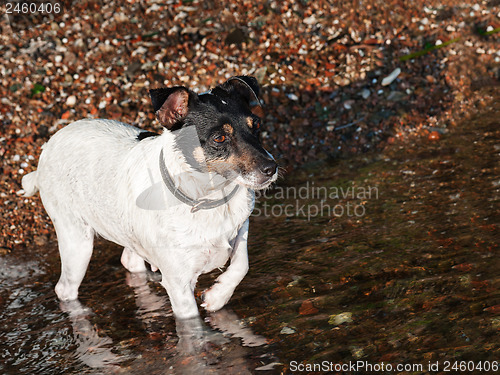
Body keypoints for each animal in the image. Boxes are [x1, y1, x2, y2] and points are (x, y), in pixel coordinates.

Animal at [22, 75, 278, 320]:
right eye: (219, 138)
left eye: (255, 125)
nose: (271, 168)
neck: (210, 198)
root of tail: (48, 146)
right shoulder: (179, 286)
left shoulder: (241, 228)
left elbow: (241, 264)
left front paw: (217, 296)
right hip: (77, 241)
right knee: (65, 289)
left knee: (130, 261)